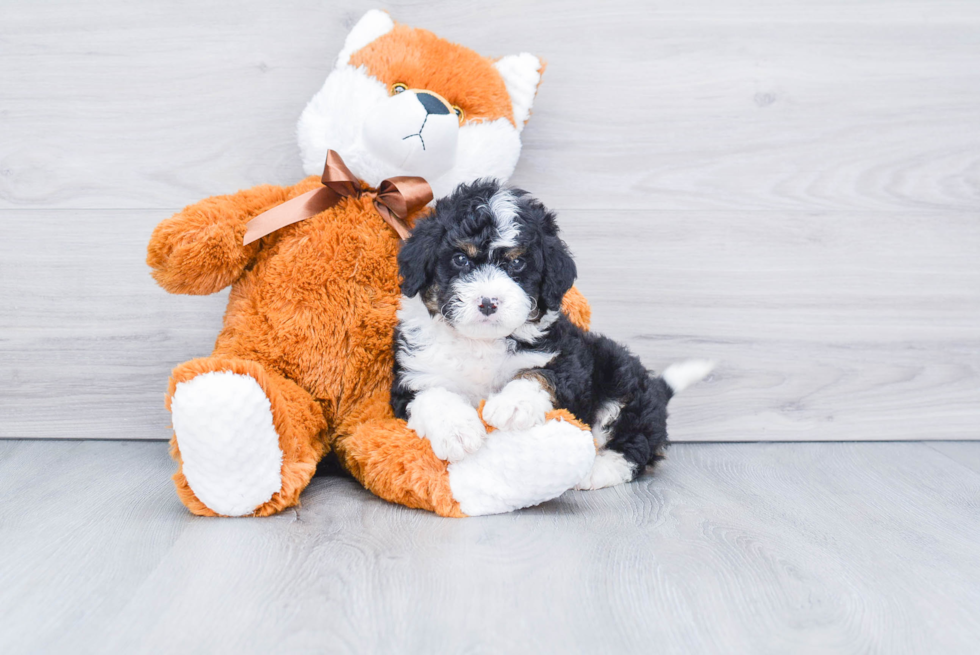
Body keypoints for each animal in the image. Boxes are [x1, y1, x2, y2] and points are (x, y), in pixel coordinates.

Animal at [390, 182, 712, 490]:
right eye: (460, 259)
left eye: (517, 263)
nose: (488, 302)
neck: (482, 342)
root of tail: (658, 390)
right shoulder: (413, 376)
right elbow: (433, 395)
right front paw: (458, 431)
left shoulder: (565, 359)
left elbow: (538, 375)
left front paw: (512, 405)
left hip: (622, 380)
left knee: (635, 445)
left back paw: (597, 470)